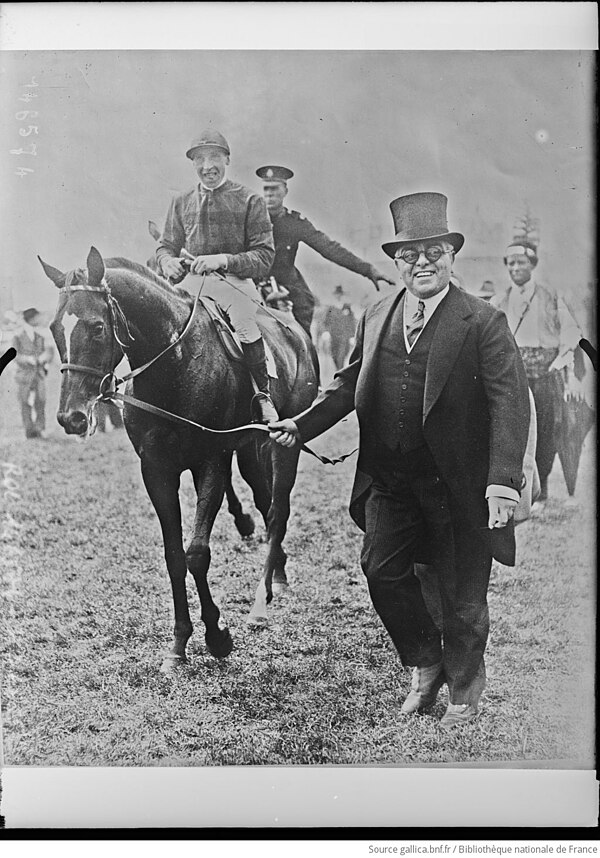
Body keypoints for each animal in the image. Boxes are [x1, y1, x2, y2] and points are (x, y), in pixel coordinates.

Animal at [39, 246, 318, 668]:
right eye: (56, 328)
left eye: (97, 327)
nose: (71, 417)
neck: (176, 364)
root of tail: (294, 329)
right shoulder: (156, 470)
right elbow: (174, 556)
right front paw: (179, 643)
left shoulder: (211, 463)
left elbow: (197, 553)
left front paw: (217, 635)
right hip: (250, 450)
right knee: (264, 500)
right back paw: (276, 574)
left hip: (283, 444)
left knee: (278, 509)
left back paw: (265, 597)